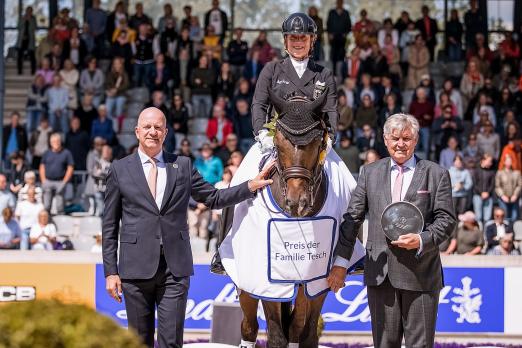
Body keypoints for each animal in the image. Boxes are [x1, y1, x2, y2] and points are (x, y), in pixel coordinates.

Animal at [237, 91, 328, 346]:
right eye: (277, 142)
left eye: (317, 142)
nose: (297, 203)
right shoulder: (267, 281)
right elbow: (277, 335)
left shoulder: (315, 280)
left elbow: (301, 330)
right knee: (249, 327)